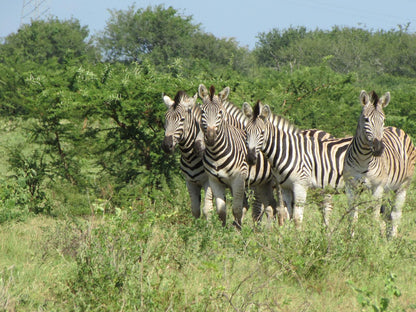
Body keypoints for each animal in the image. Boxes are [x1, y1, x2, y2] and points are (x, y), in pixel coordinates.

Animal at [162, 91, 214, 219]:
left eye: (182, 119)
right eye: (166, 119)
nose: (166, 145)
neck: (189, 157)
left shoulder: (209, 181)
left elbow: (207, 210)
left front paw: (213, 225)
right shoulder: (190, 182)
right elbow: (195, 210)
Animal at [199, 84, 280, 228]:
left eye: (220, 113)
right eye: (202, 112)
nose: (211, 138)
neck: (216, 153)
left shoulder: (238, 180)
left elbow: (236, 209)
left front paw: (237, 231)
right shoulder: (214, 181)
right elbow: (221, 211)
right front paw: (222, 231)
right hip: (263, 183)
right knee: (271, 206)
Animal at [342, 90, 414, 236]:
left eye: (383, 120)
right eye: (366, 120)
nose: (379, 148)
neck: (363, 160)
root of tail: (397, 128)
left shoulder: (377, 187)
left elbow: (374, 217)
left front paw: (372, 239)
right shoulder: (351, 186)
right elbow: (353, 216)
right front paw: (350, 238)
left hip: (403, 185)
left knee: (396, 214)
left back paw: (392, 239)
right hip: (387, 188)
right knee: (387, 214)